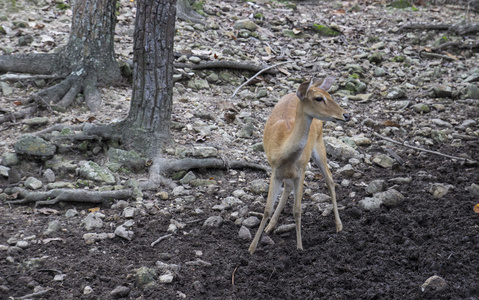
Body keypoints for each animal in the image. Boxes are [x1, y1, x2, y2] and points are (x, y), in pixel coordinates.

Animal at [249, 76, 350, 254]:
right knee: (289, 187)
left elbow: (297, 210)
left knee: (330, 180)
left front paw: (299, 248)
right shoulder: (275, 170)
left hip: (319, 146)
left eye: (330, 95)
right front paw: (252, 248)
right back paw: (270, 227)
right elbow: (267, 209)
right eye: (319, 98)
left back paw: (339, 225)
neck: (284, 152)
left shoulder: (301, 170)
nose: (346, 115)